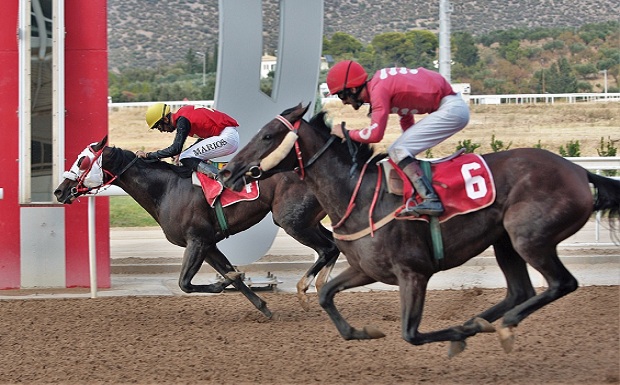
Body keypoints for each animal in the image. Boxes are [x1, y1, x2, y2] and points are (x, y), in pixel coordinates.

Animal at [55, 136, 342, 316]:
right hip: (307, 220)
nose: (59, 191)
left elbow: (185, 283)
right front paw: (262, 305)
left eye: (82, 161)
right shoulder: (209, 244)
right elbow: (231, 275)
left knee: (327, 248)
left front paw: (225, 283)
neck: (166, 189)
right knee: (333, 244)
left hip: (290, 220)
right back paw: (322, 287)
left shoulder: (197, 241)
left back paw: (306, 290)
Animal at [219, 103, 620, 356]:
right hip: (504, 240)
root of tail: (578, 171)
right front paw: (362, 331)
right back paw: (480, 322)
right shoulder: (366, 269)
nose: (229, 171)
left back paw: (498, 324)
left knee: (561, 283)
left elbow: (410, 333)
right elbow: (327, 295)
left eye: (268, 135)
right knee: (518, 291)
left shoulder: (414, 273)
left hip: (528, 237)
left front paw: (455, 335)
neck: (360, 194)